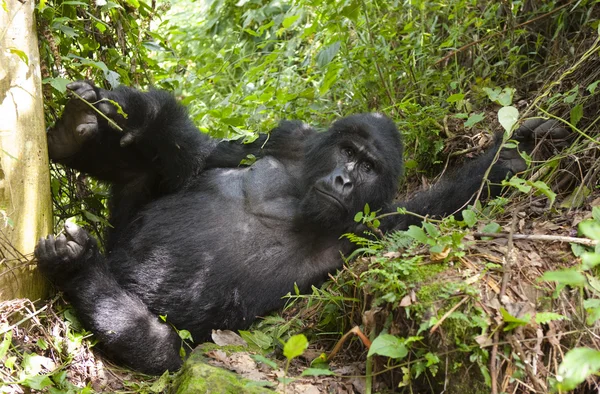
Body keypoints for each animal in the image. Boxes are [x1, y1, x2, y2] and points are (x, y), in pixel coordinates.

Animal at [35, 81, 568, 374]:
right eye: (347, 152)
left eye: (368, 167)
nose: (343, 178)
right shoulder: (287, 136)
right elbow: (202, 154)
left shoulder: (371, 229)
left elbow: (432, 212)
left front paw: (510, 153)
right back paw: (76, 129)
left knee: (161, 347)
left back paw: (85, 271)